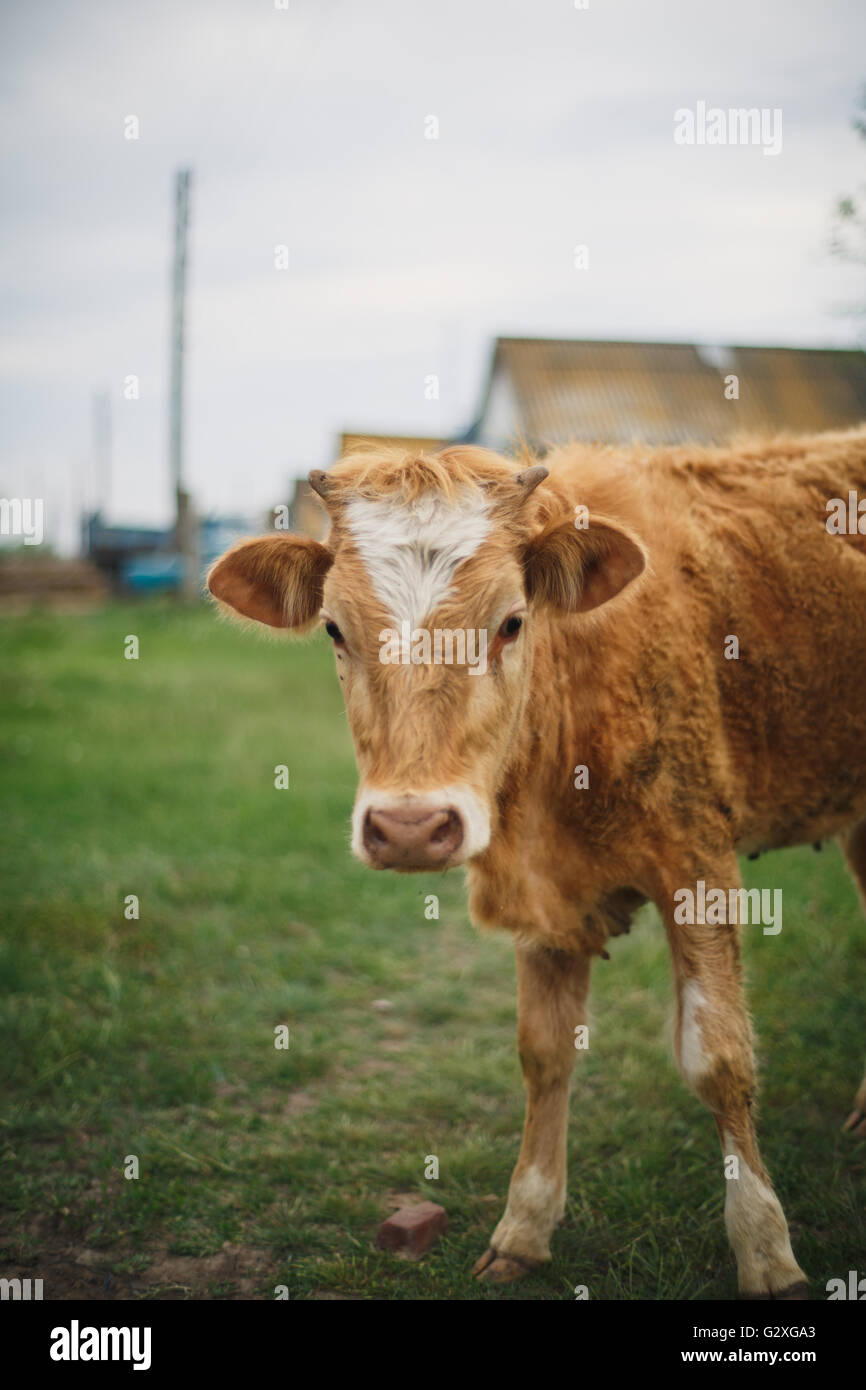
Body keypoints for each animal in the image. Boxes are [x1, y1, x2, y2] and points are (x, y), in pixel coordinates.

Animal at [208, 427, 866, 1298]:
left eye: (512, 622)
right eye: (335, 631)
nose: (410, 827)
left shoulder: (699, 866)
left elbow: (719, 1058)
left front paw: (767, 1250)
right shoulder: (540, 900)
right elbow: (544, 1054)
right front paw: (524, 1226)